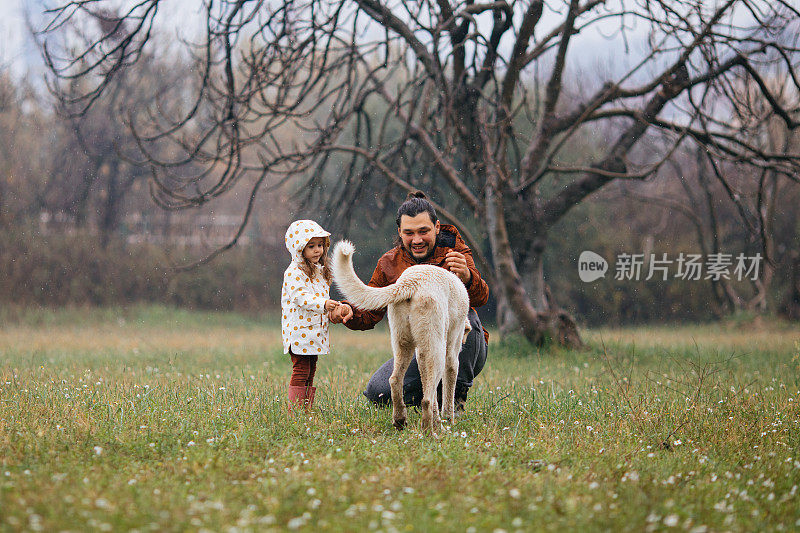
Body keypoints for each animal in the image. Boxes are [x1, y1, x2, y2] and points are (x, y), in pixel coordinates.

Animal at [330, 241, 468, 432]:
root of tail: (410, 282)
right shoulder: (451, 354)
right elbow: (448, 391)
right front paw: (448, 420)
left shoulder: (421, 355)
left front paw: (438, 420)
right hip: (436, 352)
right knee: (426, 399)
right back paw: (430, 431)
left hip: (404, 345)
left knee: (395, 380)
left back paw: (401, 420)